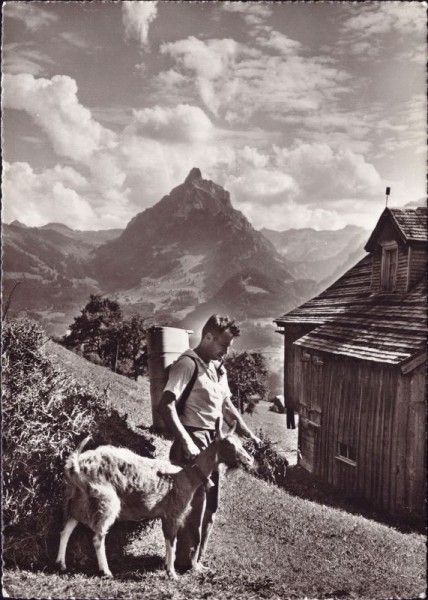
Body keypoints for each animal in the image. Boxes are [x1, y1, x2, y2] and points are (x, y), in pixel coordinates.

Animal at [55, 420, 252, 580]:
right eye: (229, 444)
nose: (249, 460)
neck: (187, 475)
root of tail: (76, 466)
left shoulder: (166, 515)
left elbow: (169, 541)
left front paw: (168, 568)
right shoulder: (173, 513)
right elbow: (172, 542)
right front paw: (172, 573)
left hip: (77, 498)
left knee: (66, 528)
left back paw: (61, 564)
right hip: (106, 500)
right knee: (97, 536)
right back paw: (106, 571)